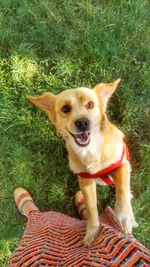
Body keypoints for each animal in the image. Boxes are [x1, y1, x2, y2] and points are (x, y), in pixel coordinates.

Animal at [27, 78, 138, 246]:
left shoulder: (122, 164)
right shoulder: (85, 181)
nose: (82, 123)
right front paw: (92, 231)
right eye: (65, 108)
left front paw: (124, 215)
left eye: (91, 104)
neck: (91, 152)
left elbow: (123, 189)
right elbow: (91, 208)